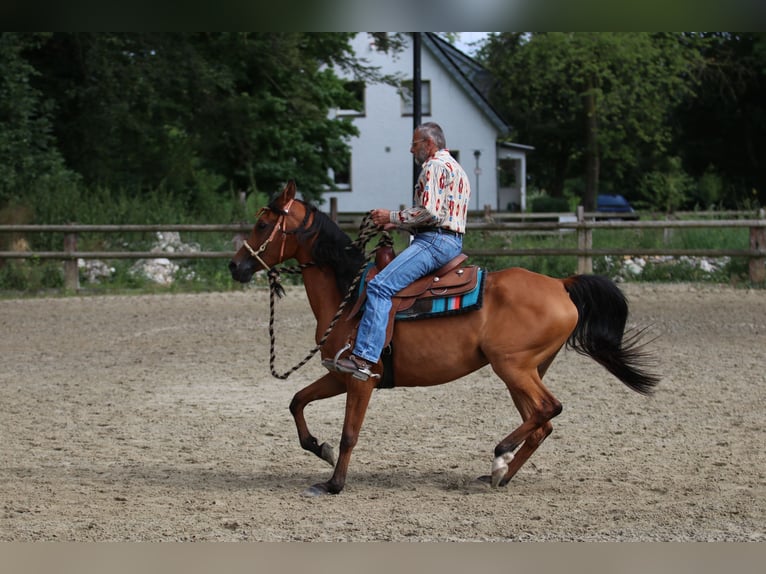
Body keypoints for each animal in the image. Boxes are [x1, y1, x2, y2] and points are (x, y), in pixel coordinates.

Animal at [228, 182, 660, 498]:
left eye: (263, 224)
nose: (235, 266)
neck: (348, 296)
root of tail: (561, 284)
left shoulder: (361, 378)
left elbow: (350, 433)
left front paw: (334, 483)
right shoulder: (338, 373)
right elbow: (296, 401)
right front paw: (319, 448)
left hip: (513, 367)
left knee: (548, 409)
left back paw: (499, 456)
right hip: (523, 371)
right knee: (541, 423)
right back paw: (499, 475)